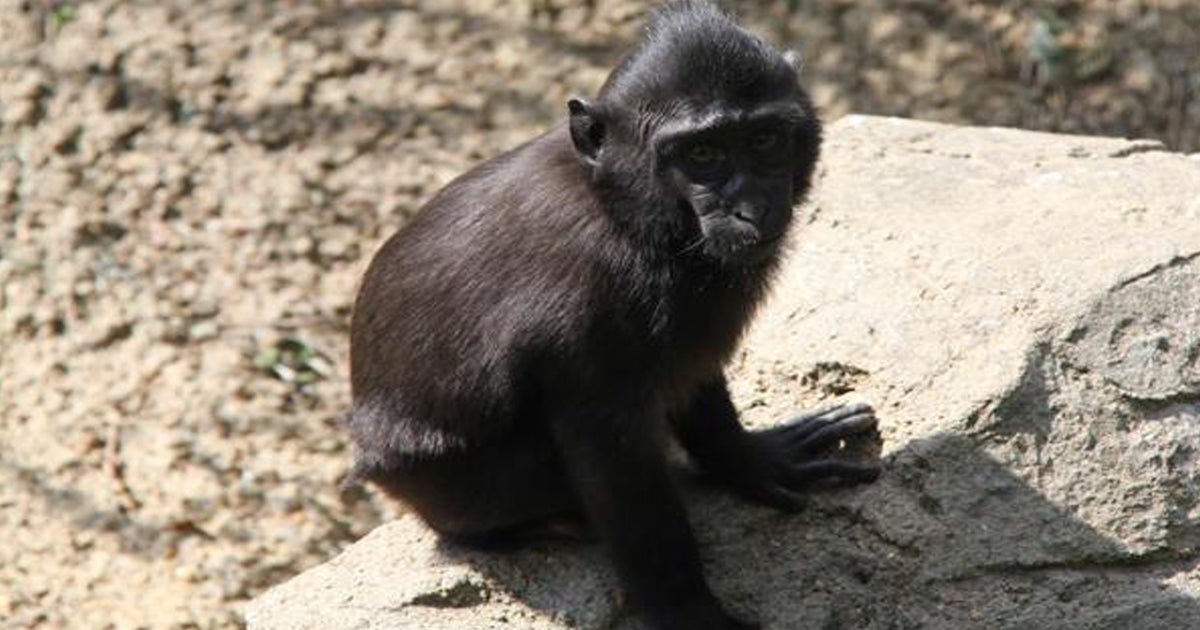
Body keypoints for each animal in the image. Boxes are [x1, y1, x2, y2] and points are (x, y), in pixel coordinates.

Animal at [348, 2, 883, 624]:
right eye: (702, 154)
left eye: (765, 139)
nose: (751, 210)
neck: (623, 211)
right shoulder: (592, 316)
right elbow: (622, 474)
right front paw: (688, 614)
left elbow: (695, 382)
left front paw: (755, 462)